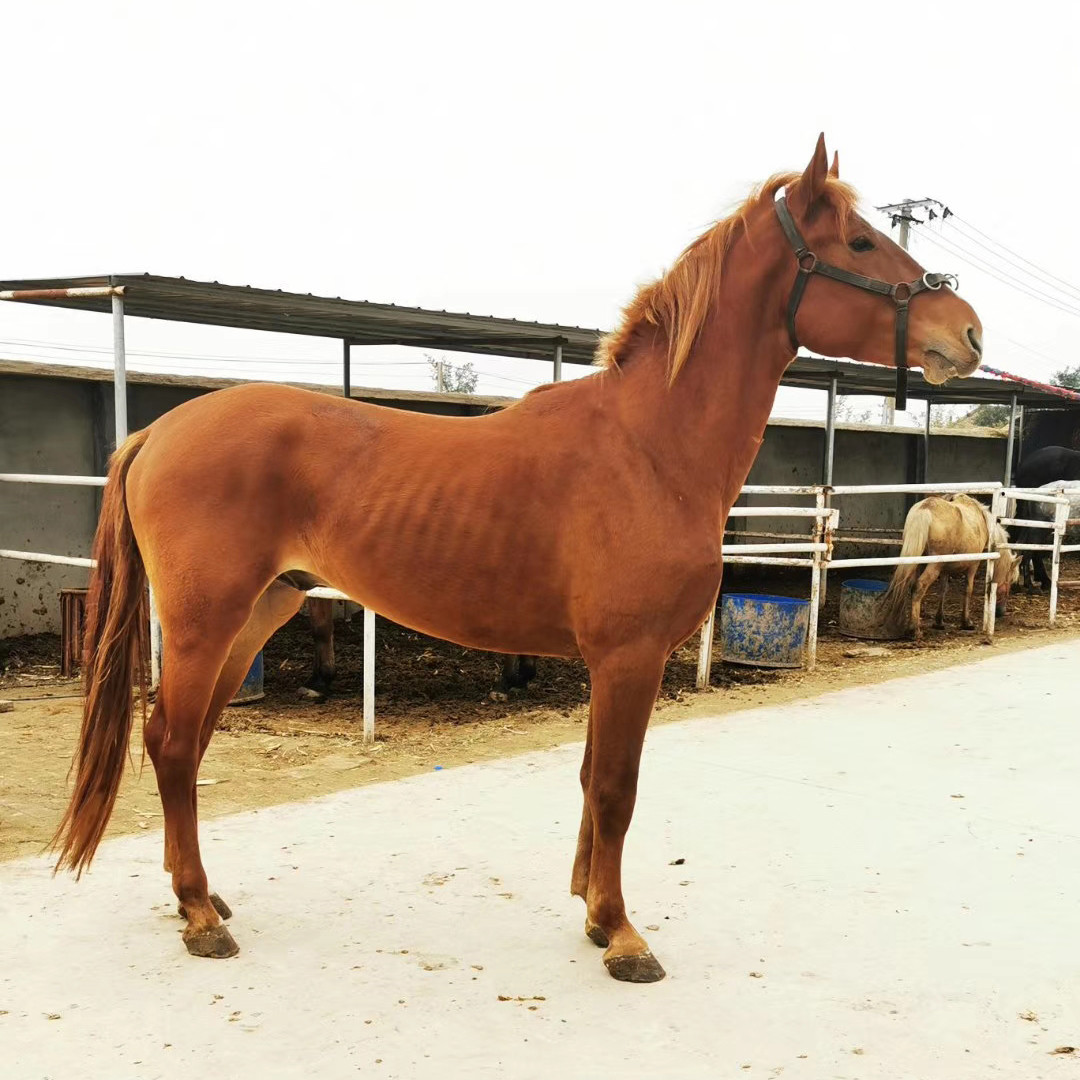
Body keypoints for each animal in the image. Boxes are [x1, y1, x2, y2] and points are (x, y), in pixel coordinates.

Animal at [300, 596, 537, 701]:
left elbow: (322, 628)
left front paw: (320, 680)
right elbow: (318, 626)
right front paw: (317, 678)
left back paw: (504, 684)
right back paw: (522, 677)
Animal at [878, 494, 1016, 642]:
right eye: (1010, 582)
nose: (1001, 611)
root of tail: (925, 508)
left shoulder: (945, 569)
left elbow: (943, 591)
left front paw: (939, 621)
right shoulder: (973, 566)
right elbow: (968, 590)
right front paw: (966, 622)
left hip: (918, 563)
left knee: (911, 586)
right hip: (933, 566)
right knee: (919, 587)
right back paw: (914, 630)